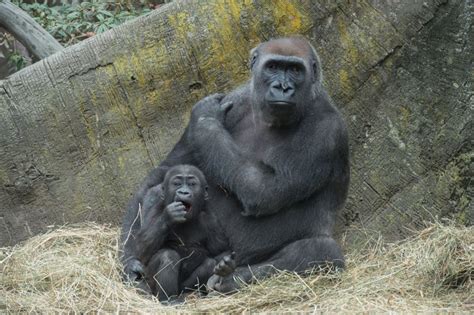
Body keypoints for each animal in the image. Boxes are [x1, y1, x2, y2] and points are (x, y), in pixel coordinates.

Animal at [131, 165, 231, 302]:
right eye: (177, 184)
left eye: (192, 184)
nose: (184, 192)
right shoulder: (155, 210)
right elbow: (141, 251)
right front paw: (169, 216)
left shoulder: (212, 220)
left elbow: (221, 251)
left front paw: (224, 270)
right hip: (151, 283)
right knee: (167, 256)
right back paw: (168, 300)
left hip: (183, 288)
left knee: (209, 264)